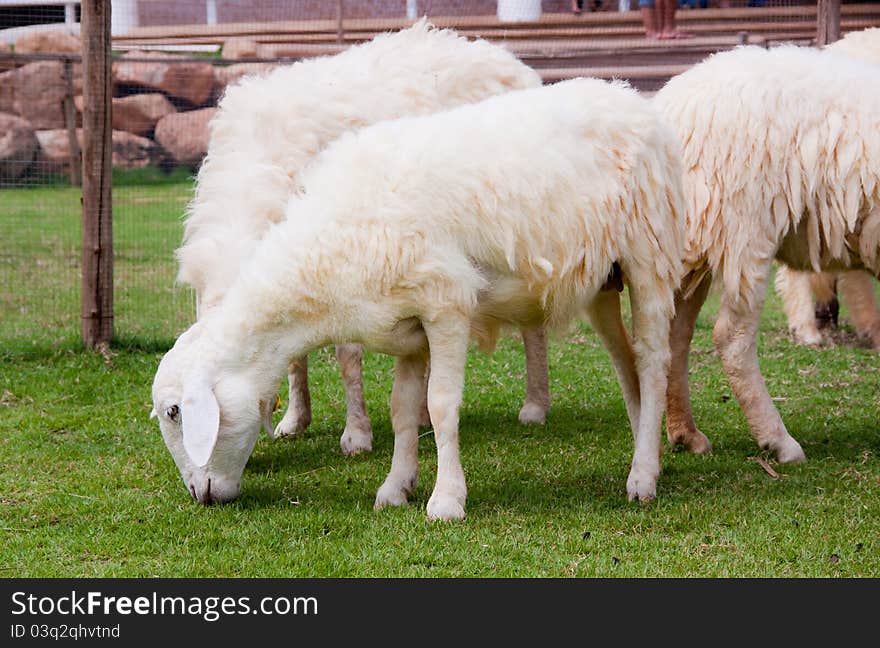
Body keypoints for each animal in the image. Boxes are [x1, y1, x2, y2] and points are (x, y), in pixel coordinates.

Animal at [151, 77, 688, 520]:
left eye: (176, 412)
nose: (199, 495)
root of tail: (633, 98)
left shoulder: (446, 304)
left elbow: (441, 405)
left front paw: (446, 500)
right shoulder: (406, 326)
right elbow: (403, 409)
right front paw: (396, 488)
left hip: (648, 256)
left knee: (652, 362)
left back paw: (642, 478)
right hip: (601, 279)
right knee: (627, 363)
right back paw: (650, 458)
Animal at [177, 19, 552, 456]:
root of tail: (507, 58)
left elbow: (347, 355)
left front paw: (356, 434)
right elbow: (294, 357)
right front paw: (295, 419)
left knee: (534, 317)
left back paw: (535, 405)